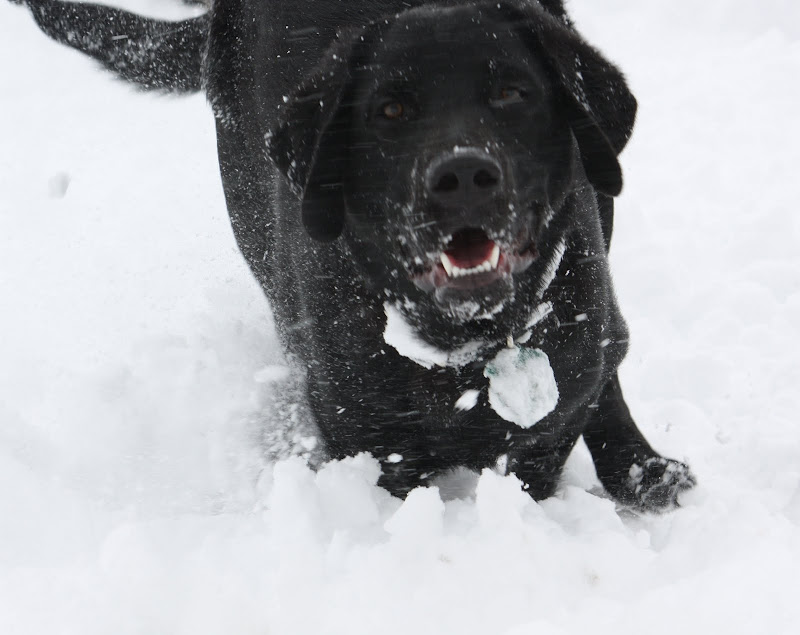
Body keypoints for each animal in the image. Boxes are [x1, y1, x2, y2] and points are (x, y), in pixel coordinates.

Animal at [14, 0, 700, 510]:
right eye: (390, 110)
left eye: (512, 93)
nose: (463, 176)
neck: (463, 347)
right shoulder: (368, 438)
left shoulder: (543, 433)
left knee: (612, 355)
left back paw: (643, 468)